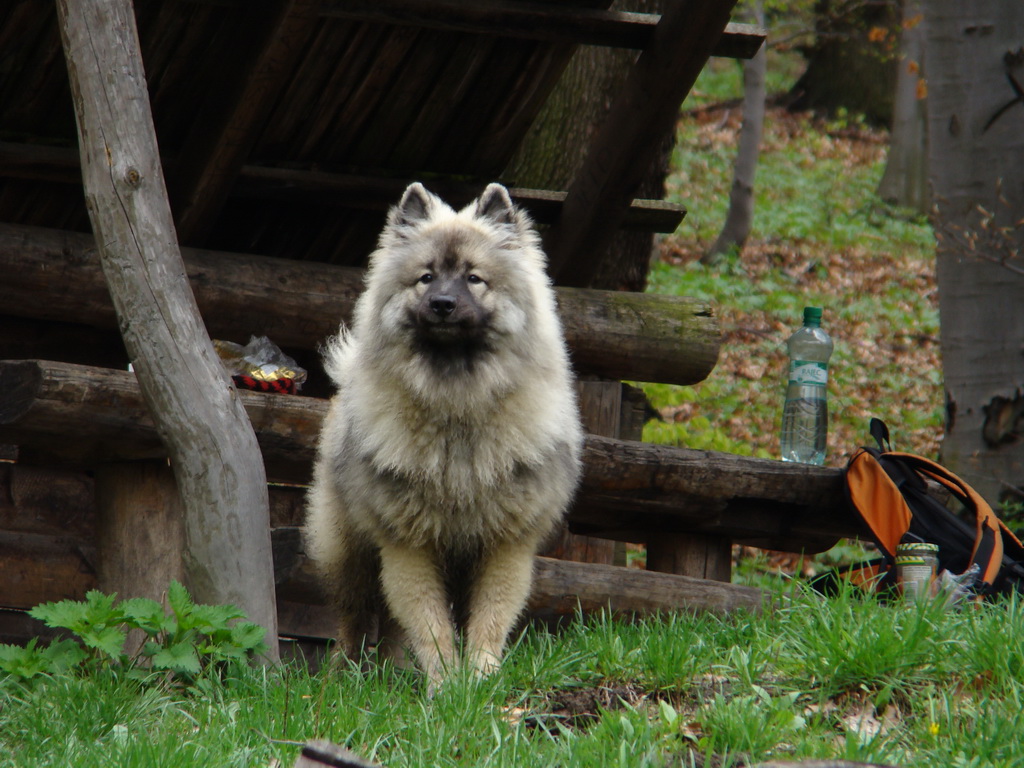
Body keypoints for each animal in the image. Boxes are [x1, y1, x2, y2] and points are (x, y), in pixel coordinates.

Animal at [301, 183, 585, 688]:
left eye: (474, 278)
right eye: (426, 278)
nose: (442, 305)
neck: (458, 408)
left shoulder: (504, 544)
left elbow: (489, 618)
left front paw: (480, 677)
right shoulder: (408, 544)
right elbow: (429, 624)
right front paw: (446, 684)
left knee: (391, 625)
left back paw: (394, 672)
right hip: (349, 548)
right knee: (355, 615)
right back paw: (343, 674)